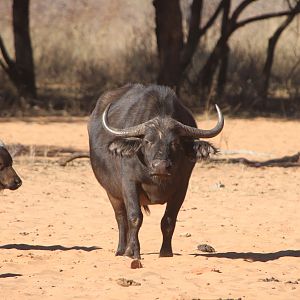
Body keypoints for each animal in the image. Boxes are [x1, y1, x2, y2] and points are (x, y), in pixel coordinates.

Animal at [86, 83, 223, 258]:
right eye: (147, 141)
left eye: (175, 142)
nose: (160, 166)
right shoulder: (129, 183)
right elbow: (134, 218)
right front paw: (133, 251)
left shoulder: (182, 187)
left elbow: (169, 220)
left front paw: (166, 252)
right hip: (112, 193)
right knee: (121, 219)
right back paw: (122, 249)